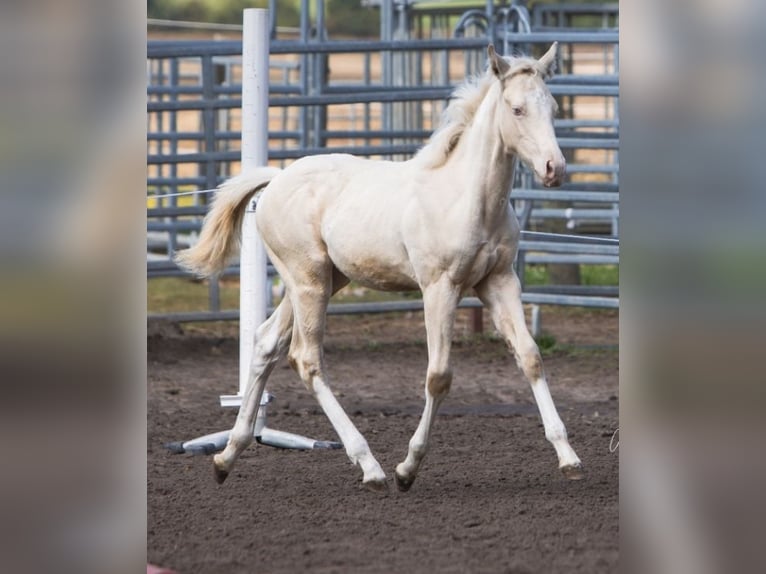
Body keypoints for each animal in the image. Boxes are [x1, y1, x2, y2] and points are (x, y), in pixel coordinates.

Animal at [176, 43, 583, 491]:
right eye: (516, 109)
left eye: (553, 106)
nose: (555, 168)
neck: (465, 198)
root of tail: (276, 179)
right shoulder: (439, 287)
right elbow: (439, 375)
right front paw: (408, 467)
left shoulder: (499, 281)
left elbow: (529, 356)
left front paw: (568, 457)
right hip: (308, 281)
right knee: (306, 358)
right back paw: (370, 466)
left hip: (321, 280)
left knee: (267, 343)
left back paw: (227, 456)